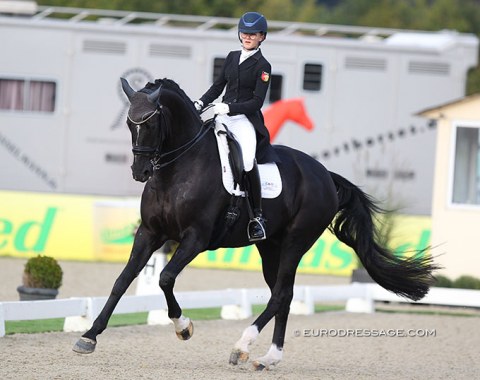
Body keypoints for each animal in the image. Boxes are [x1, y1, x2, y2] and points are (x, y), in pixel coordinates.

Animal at [72, 78, 438, 372]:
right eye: (129, 123)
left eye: (151, 123)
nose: (141, 171)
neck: (178, 169)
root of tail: (323, 174)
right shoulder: (149, 233)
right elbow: (122, 280)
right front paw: (89, 336)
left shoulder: (195, 238)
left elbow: (164, 278)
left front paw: (184, 327)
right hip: (269, 246)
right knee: (283, 294)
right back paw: (269, 358)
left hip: (295, 242)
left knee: (280, 294)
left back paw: (242, 346)